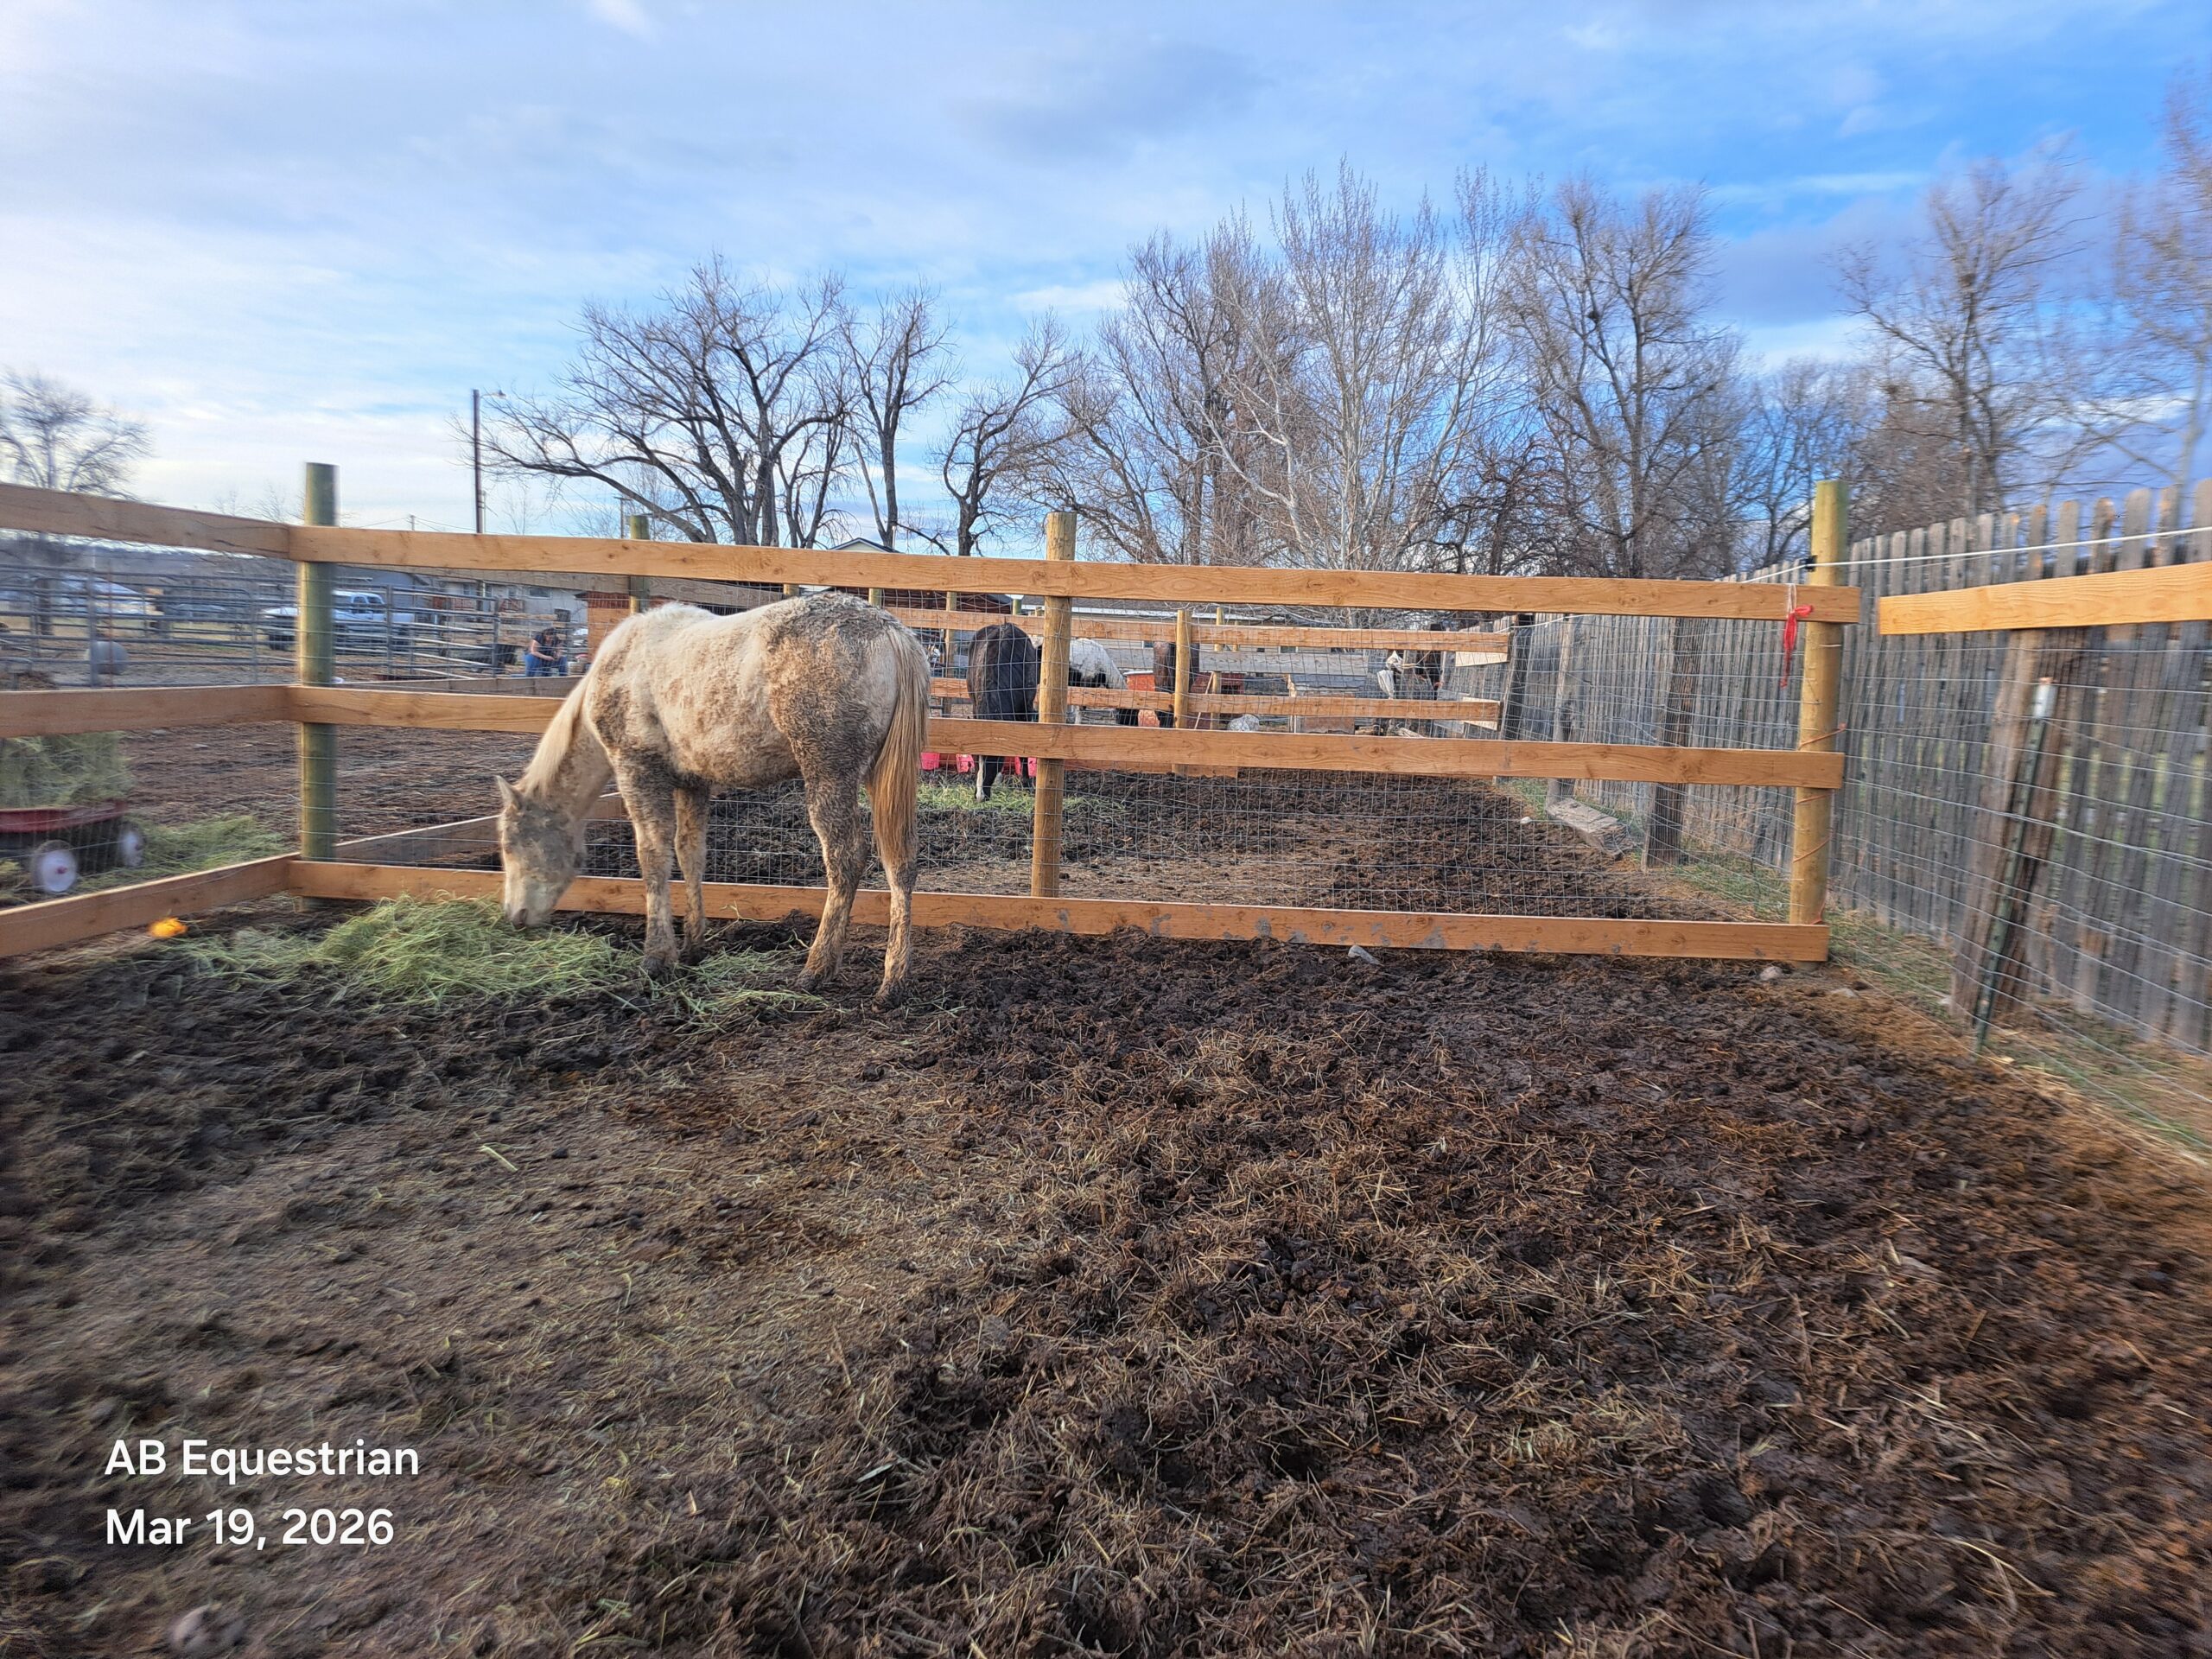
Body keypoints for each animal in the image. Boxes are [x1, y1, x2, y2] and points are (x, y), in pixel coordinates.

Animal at [495, 594, 930, 1007]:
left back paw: (817, 968)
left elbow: (652, 856)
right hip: (880, 778)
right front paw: (692, 944)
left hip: (829, 774)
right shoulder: (693, 784)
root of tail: (890, 632)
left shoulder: (637, 770)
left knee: (846, 859)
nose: (514, 917)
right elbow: (690, 853)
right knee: (900, 862)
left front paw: (657, 956)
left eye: (510, 847)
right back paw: (893, 981)